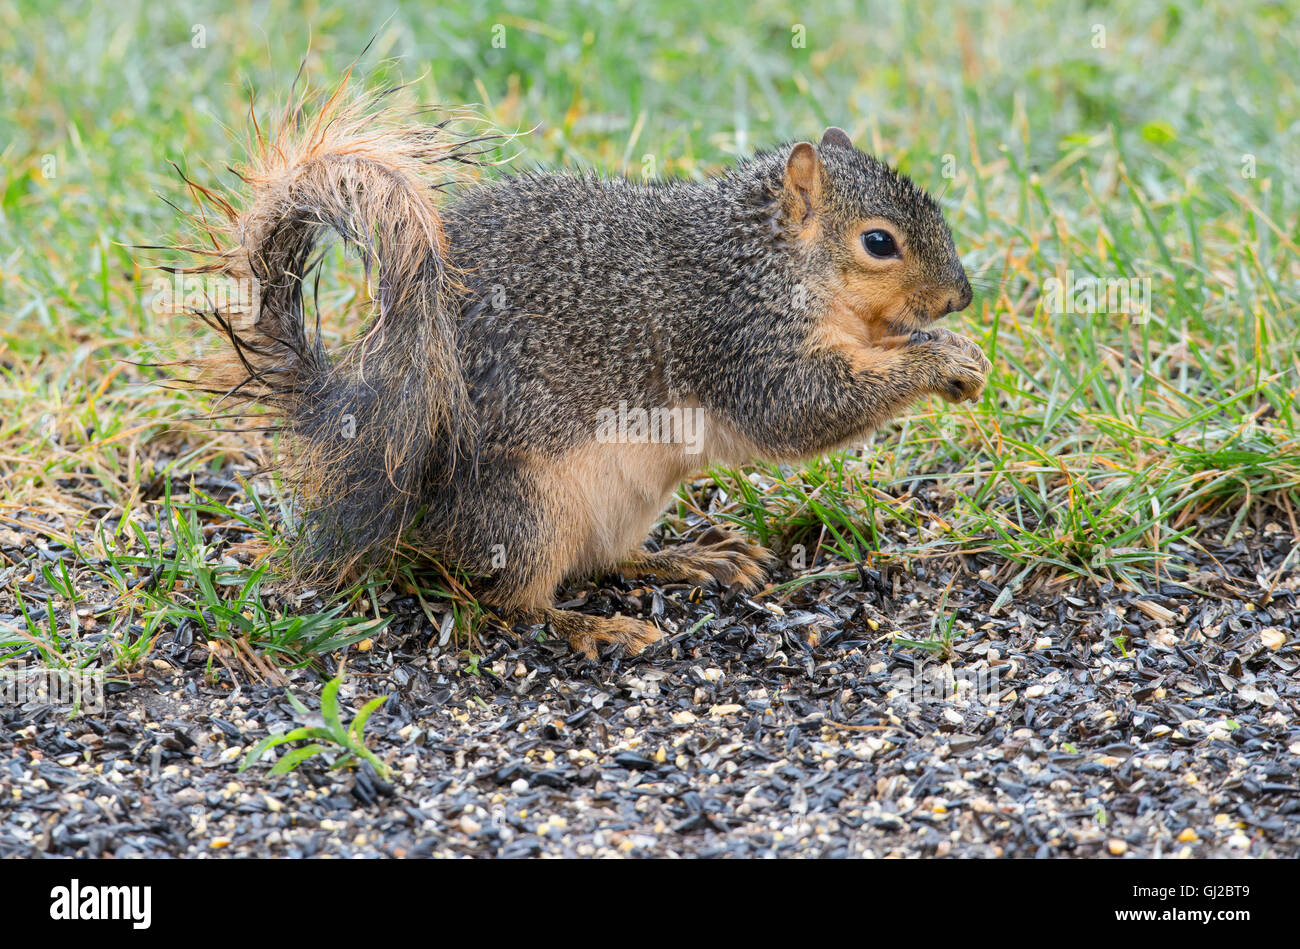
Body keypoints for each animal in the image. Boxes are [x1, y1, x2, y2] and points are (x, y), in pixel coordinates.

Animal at [167, 81, 987, 657]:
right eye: (878, 242)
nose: (962, 297)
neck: (764, 258)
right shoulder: (736, 336)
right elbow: (802, 408)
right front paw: (940, 358)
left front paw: (959, 354)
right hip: (523, 506)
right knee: (511, 599)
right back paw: (592, 628)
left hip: (618, 502)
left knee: (609, 559)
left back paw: (691, 558)